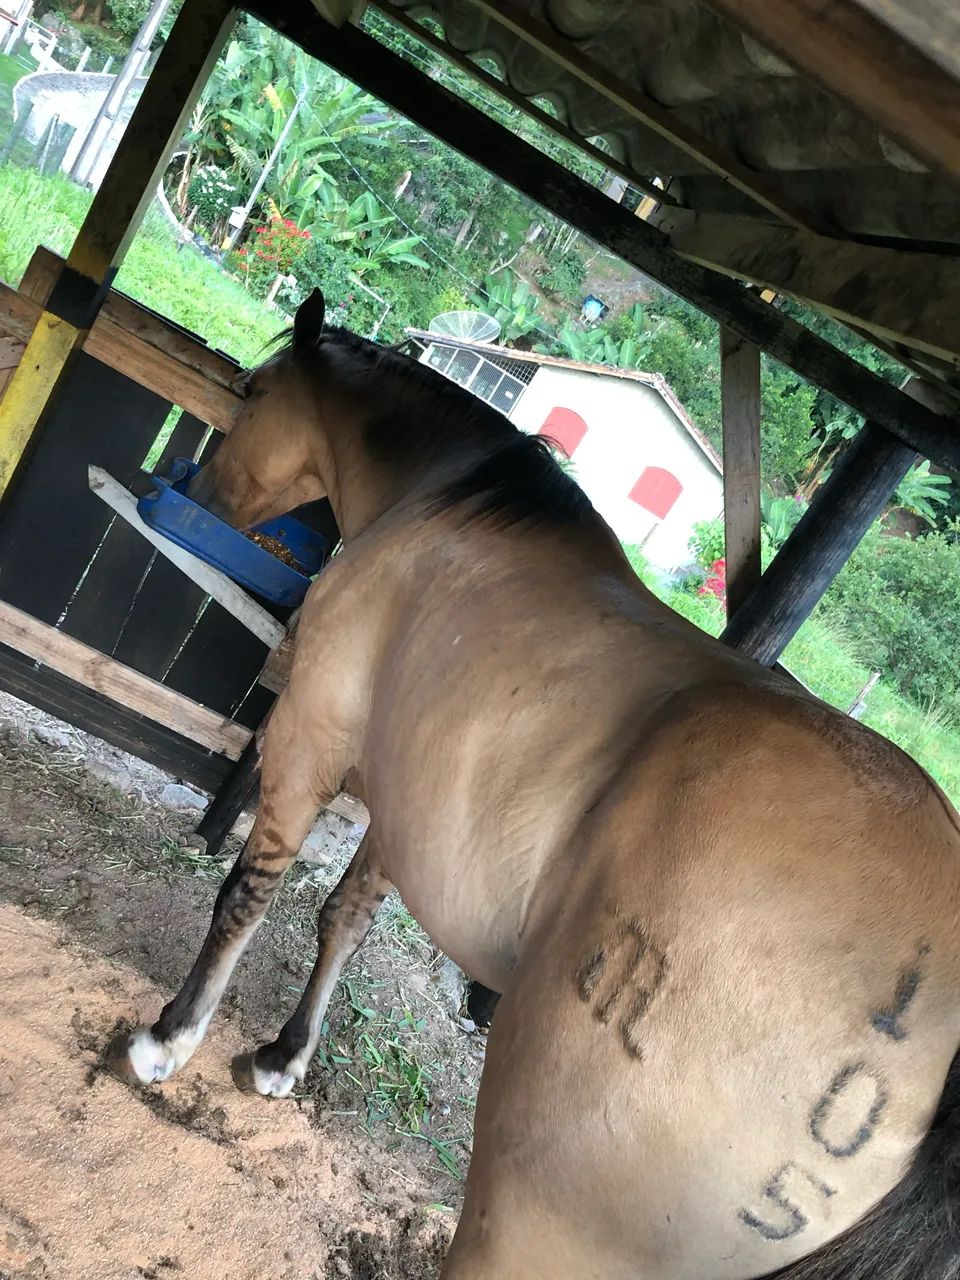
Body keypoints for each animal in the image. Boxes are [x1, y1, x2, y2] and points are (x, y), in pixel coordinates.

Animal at [111, 289, 960, 1280]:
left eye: (252, 391)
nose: (199, 493)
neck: (448, 502)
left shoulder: (308, 741)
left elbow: (249, 894)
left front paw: (171, 1038)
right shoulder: (410, 807)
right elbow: (343, 919)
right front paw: (286, 1056)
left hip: (526, 1223)